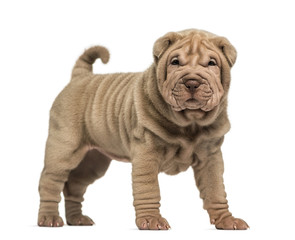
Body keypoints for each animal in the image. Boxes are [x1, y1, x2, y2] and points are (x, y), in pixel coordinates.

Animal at [37, 29, 250, 230]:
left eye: (212, 63)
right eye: (175, 62)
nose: (192, 82)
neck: (190, 122)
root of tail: (80, 76)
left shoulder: (210, 157)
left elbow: (216, 190)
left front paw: (226, 220)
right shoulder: (147, 153)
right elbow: (148, 188)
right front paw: (151, 220)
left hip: (94, 161)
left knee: (74, 185)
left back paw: (77, 219)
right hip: (64, 149)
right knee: (50, 182)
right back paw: (49, 218)